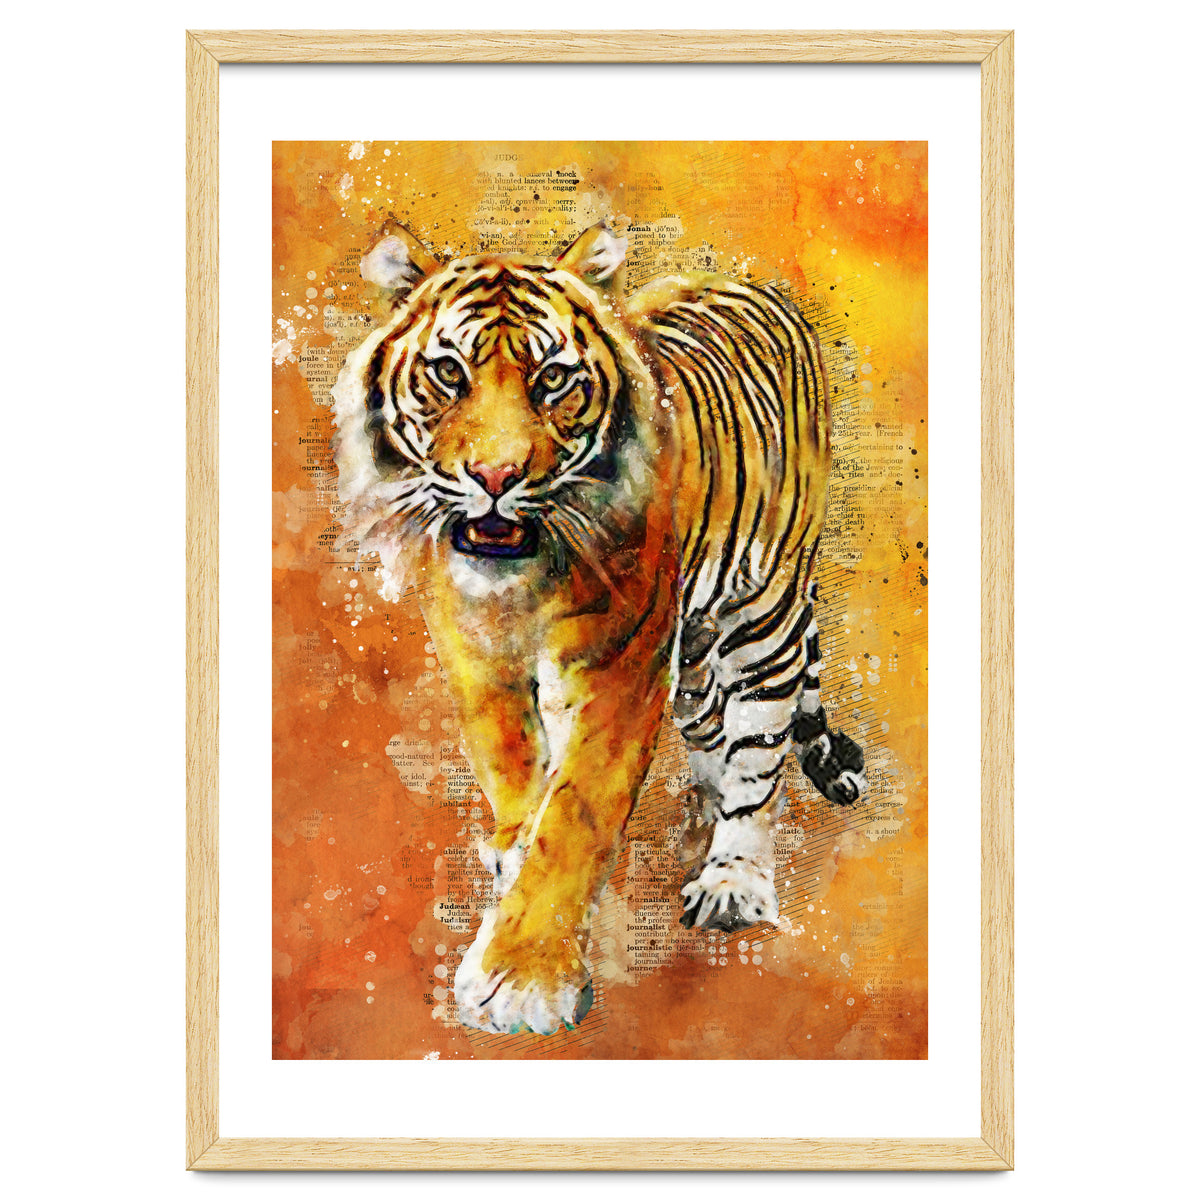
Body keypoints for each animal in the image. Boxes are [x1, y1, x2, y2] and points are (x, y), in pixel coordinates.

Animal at [331, 220, 866, 1036]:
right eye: (449, 373)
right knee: (712, 729)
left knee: (759, 751)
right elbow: (512, 766)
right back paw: (702, 808)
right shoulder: (474, 652)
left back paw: (733, 877)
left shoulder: (620, 667)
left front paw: (523, 978)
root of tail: (750, 283)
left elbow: (576, 814)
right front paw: (513, 850)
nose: (496, 477)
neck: (519, 585)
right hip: (697, 650)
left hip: (761, 611)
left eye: (553, 379)